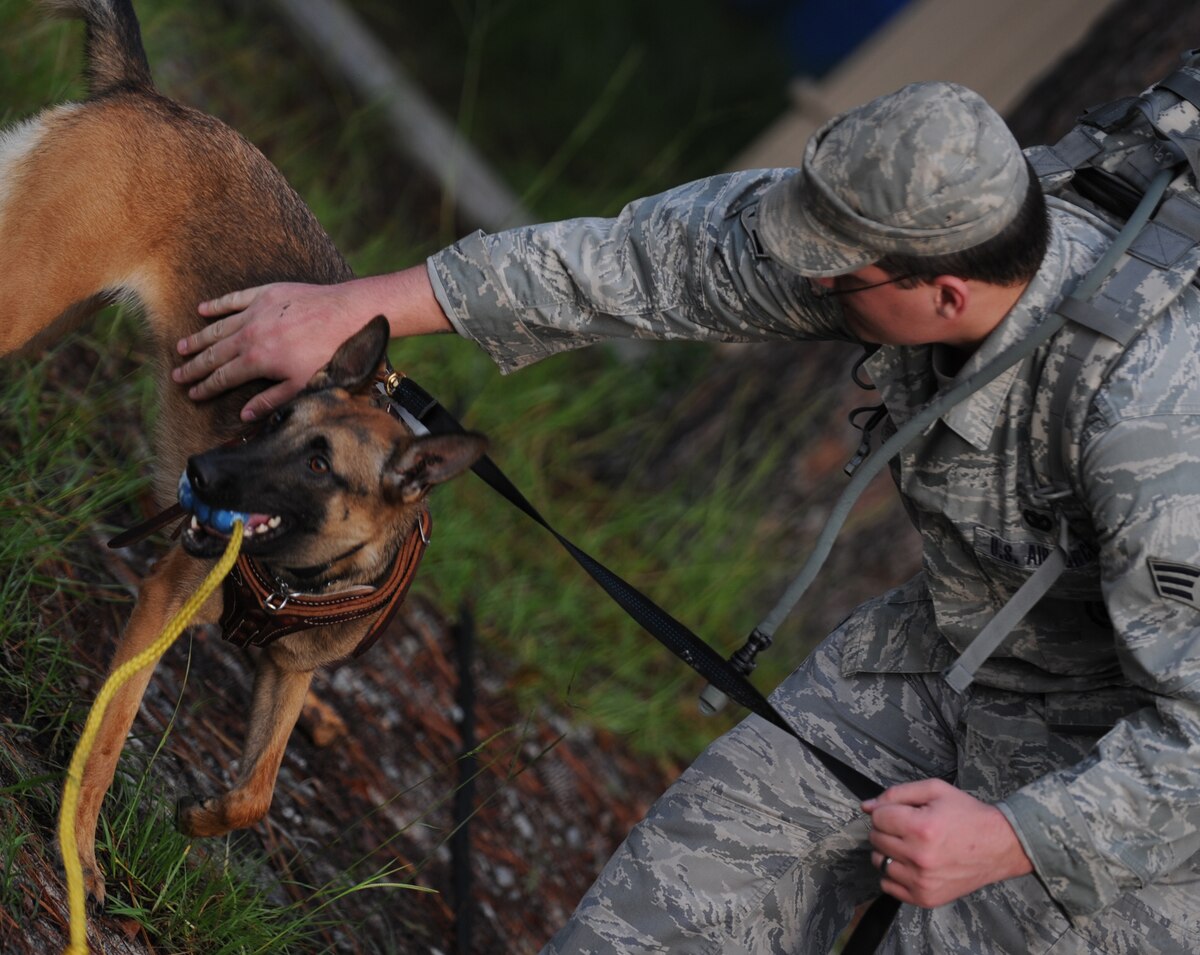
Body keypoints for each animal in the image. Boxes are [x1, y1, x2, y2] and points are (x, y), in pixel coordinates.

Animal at [2, 0, 487, 902]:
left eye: (318, 462)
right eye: (270, 420)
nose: (199, 476)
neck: (305, 574)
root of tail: (146, 94)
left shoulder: (291, 673)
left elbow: (256, 792)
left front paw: (199, 818)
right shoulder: (164, 598)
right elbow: (110, 738)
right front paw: (79, 852)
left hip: (47, 313)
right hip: (24, 296)